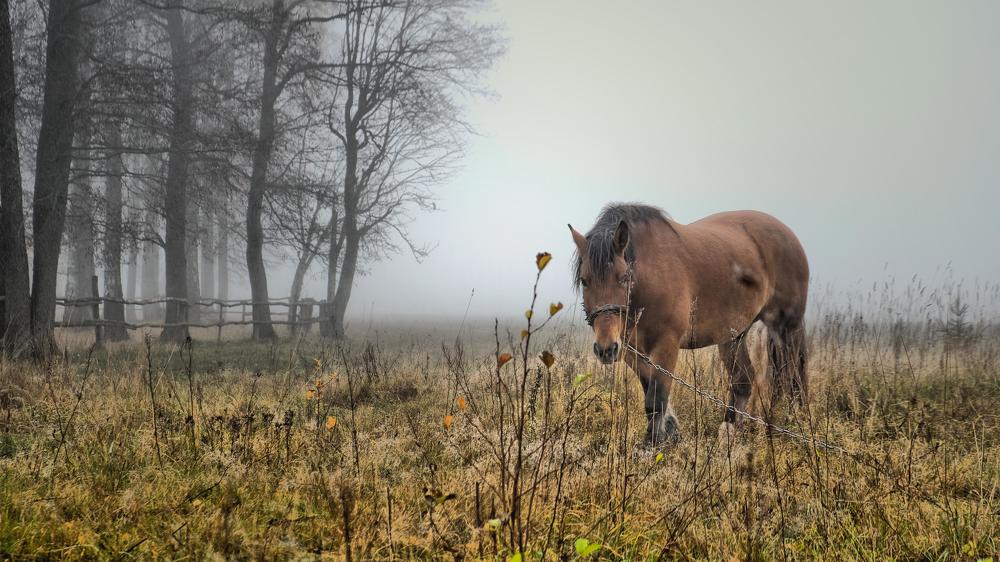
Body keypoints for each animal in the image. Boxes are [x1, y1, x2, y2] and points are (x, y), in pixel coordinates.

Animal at [569, 203, 809, 446]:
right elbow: (649, 390)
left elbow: (656, 398)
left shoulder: (666, 345)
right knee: (744, 381)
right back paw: (730, 432)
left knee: (791, 378)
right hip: (733, 337)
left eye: (623, 277)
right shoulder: (631, 349)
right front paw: (671, 432)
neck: (649, 278)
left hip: (786, 328)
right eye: (584, 281)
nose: (606, 349)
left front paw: (653, 444)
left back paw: (790, 421)